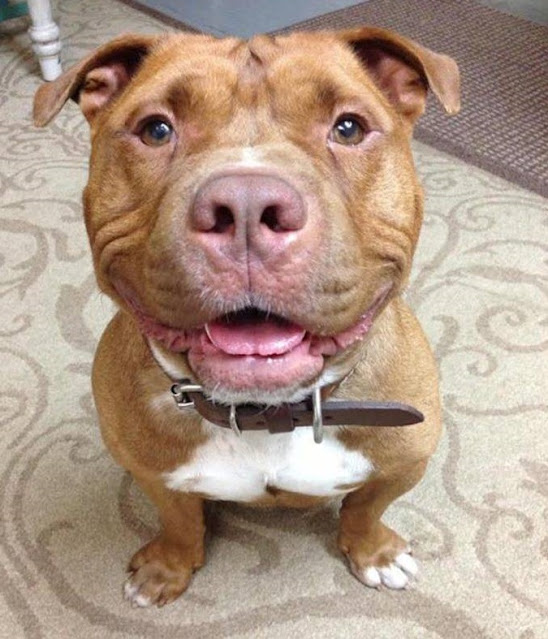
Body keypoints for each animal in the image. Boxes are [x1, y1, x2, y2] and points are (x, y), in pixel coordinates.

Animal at [33, 26, 459, 607]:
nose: (247, 203)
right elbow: (179, 520)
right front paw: (167, 567)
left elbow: (365, 509)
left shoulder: (403, 463)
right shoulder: (149, 470)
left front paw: (374, 553)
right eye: (156, 129)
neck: (267, 415)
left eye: (348, 128)